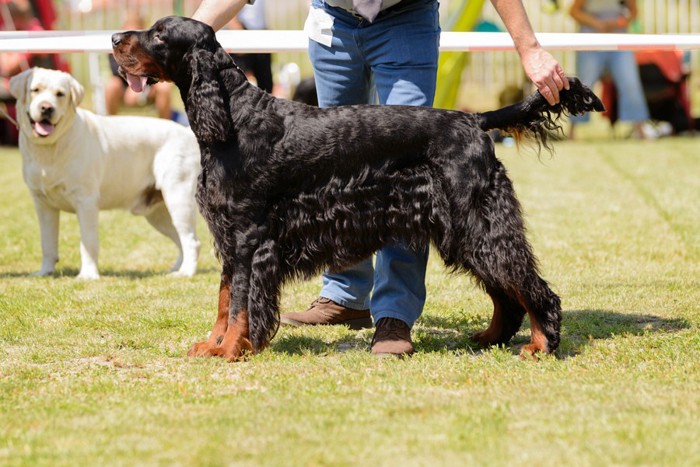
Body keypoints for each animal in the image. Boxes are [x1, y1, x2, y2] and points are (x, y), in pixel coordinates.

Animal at [9, 67, 201, 280]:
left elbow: (88, 242)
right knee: (180, 238)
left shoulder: (86, 202)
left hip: (178, 198)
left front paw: (88, 275)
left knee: (191, 240)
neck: (49, 149)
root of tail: (187, 132)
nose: (46, 108)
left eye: (60, 94)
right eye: (35, 90)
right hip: (158, 213)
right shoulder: (43, 205)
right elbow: (47, 243)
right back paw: (176, 269)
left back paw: (186, 272)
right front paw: (45, 272)